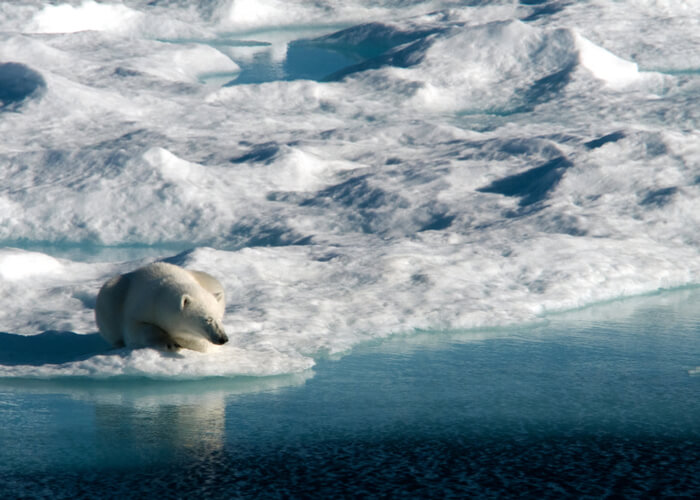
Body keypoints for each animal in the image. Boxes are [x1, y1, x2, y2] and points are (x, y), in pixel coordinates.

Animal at [95, 262, 228, 352]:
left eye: (219, 318)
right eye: (208, 319)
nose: (223, 338)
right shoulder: (140, 305)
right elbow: (136, 329)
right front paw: (170, 343)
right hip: (111, 296)